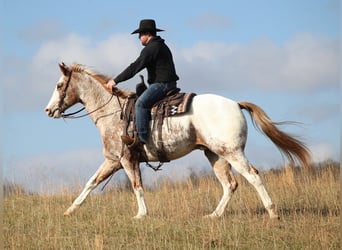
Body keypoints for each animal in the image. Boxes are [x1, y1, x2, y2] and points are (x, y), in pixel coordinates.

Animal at [44, 62, 310, 219]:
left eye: (59, 85)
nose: (48, 111)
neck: (113, 112)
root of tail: (236, 104)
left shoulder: (127, 159)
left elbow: (136, 185)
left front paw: (141, 215)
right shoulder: (113, 161)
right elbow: (90, 183)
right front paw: (70, 210)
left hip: (233, 153)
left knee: (253, 176)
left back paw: (272, 213)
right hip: (216, 155)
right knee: (230, 184)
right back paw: (214, 215)